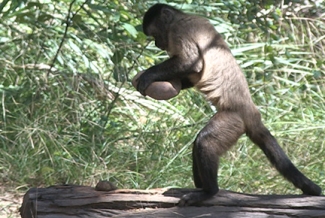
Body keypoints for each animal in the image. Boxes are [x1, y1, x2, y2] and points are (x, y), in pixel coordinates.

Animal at [135, 3, 320, 206]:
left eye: (155, 35)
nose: (156, 44)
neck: (180, 17)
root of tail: (250, 110)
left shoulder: (179, 29)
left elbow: (191, 63)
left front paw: (148, 76)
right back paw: (200, 187)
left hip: (235, 119)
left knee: (205, 140)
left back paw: (209, 192)